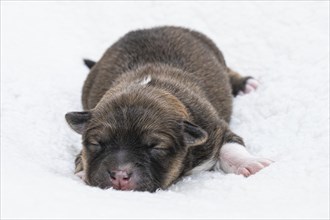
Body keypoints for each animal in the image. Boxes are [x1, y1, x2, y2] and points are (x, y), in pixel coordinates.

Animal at [65, 25, 274, 191]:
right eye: (96, 144)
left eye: (156, 147)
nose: (119, 175)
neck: (149, 86)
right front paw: (82, 170)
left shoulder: (213, 128)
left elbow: (231, 146)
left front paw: (251, 163)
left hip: (217, 55)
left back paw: (245, 84)